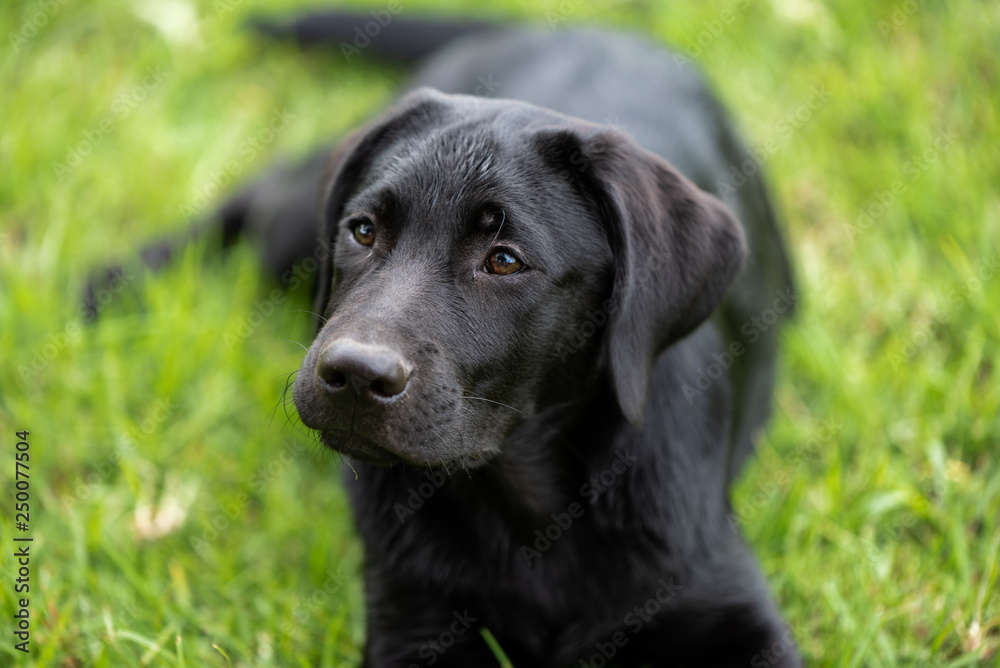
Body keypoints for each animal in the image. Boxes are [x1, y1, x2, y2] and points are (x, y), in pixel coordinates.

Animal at [99, 11, 804, 668]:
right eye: (362, 230)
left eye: (505, 260)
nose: (353, 374)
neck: (525, 508)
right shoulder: (413, 618)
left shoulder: (723, 600)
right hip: (290, 226)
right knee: (262, 193)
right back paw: (110, 281)